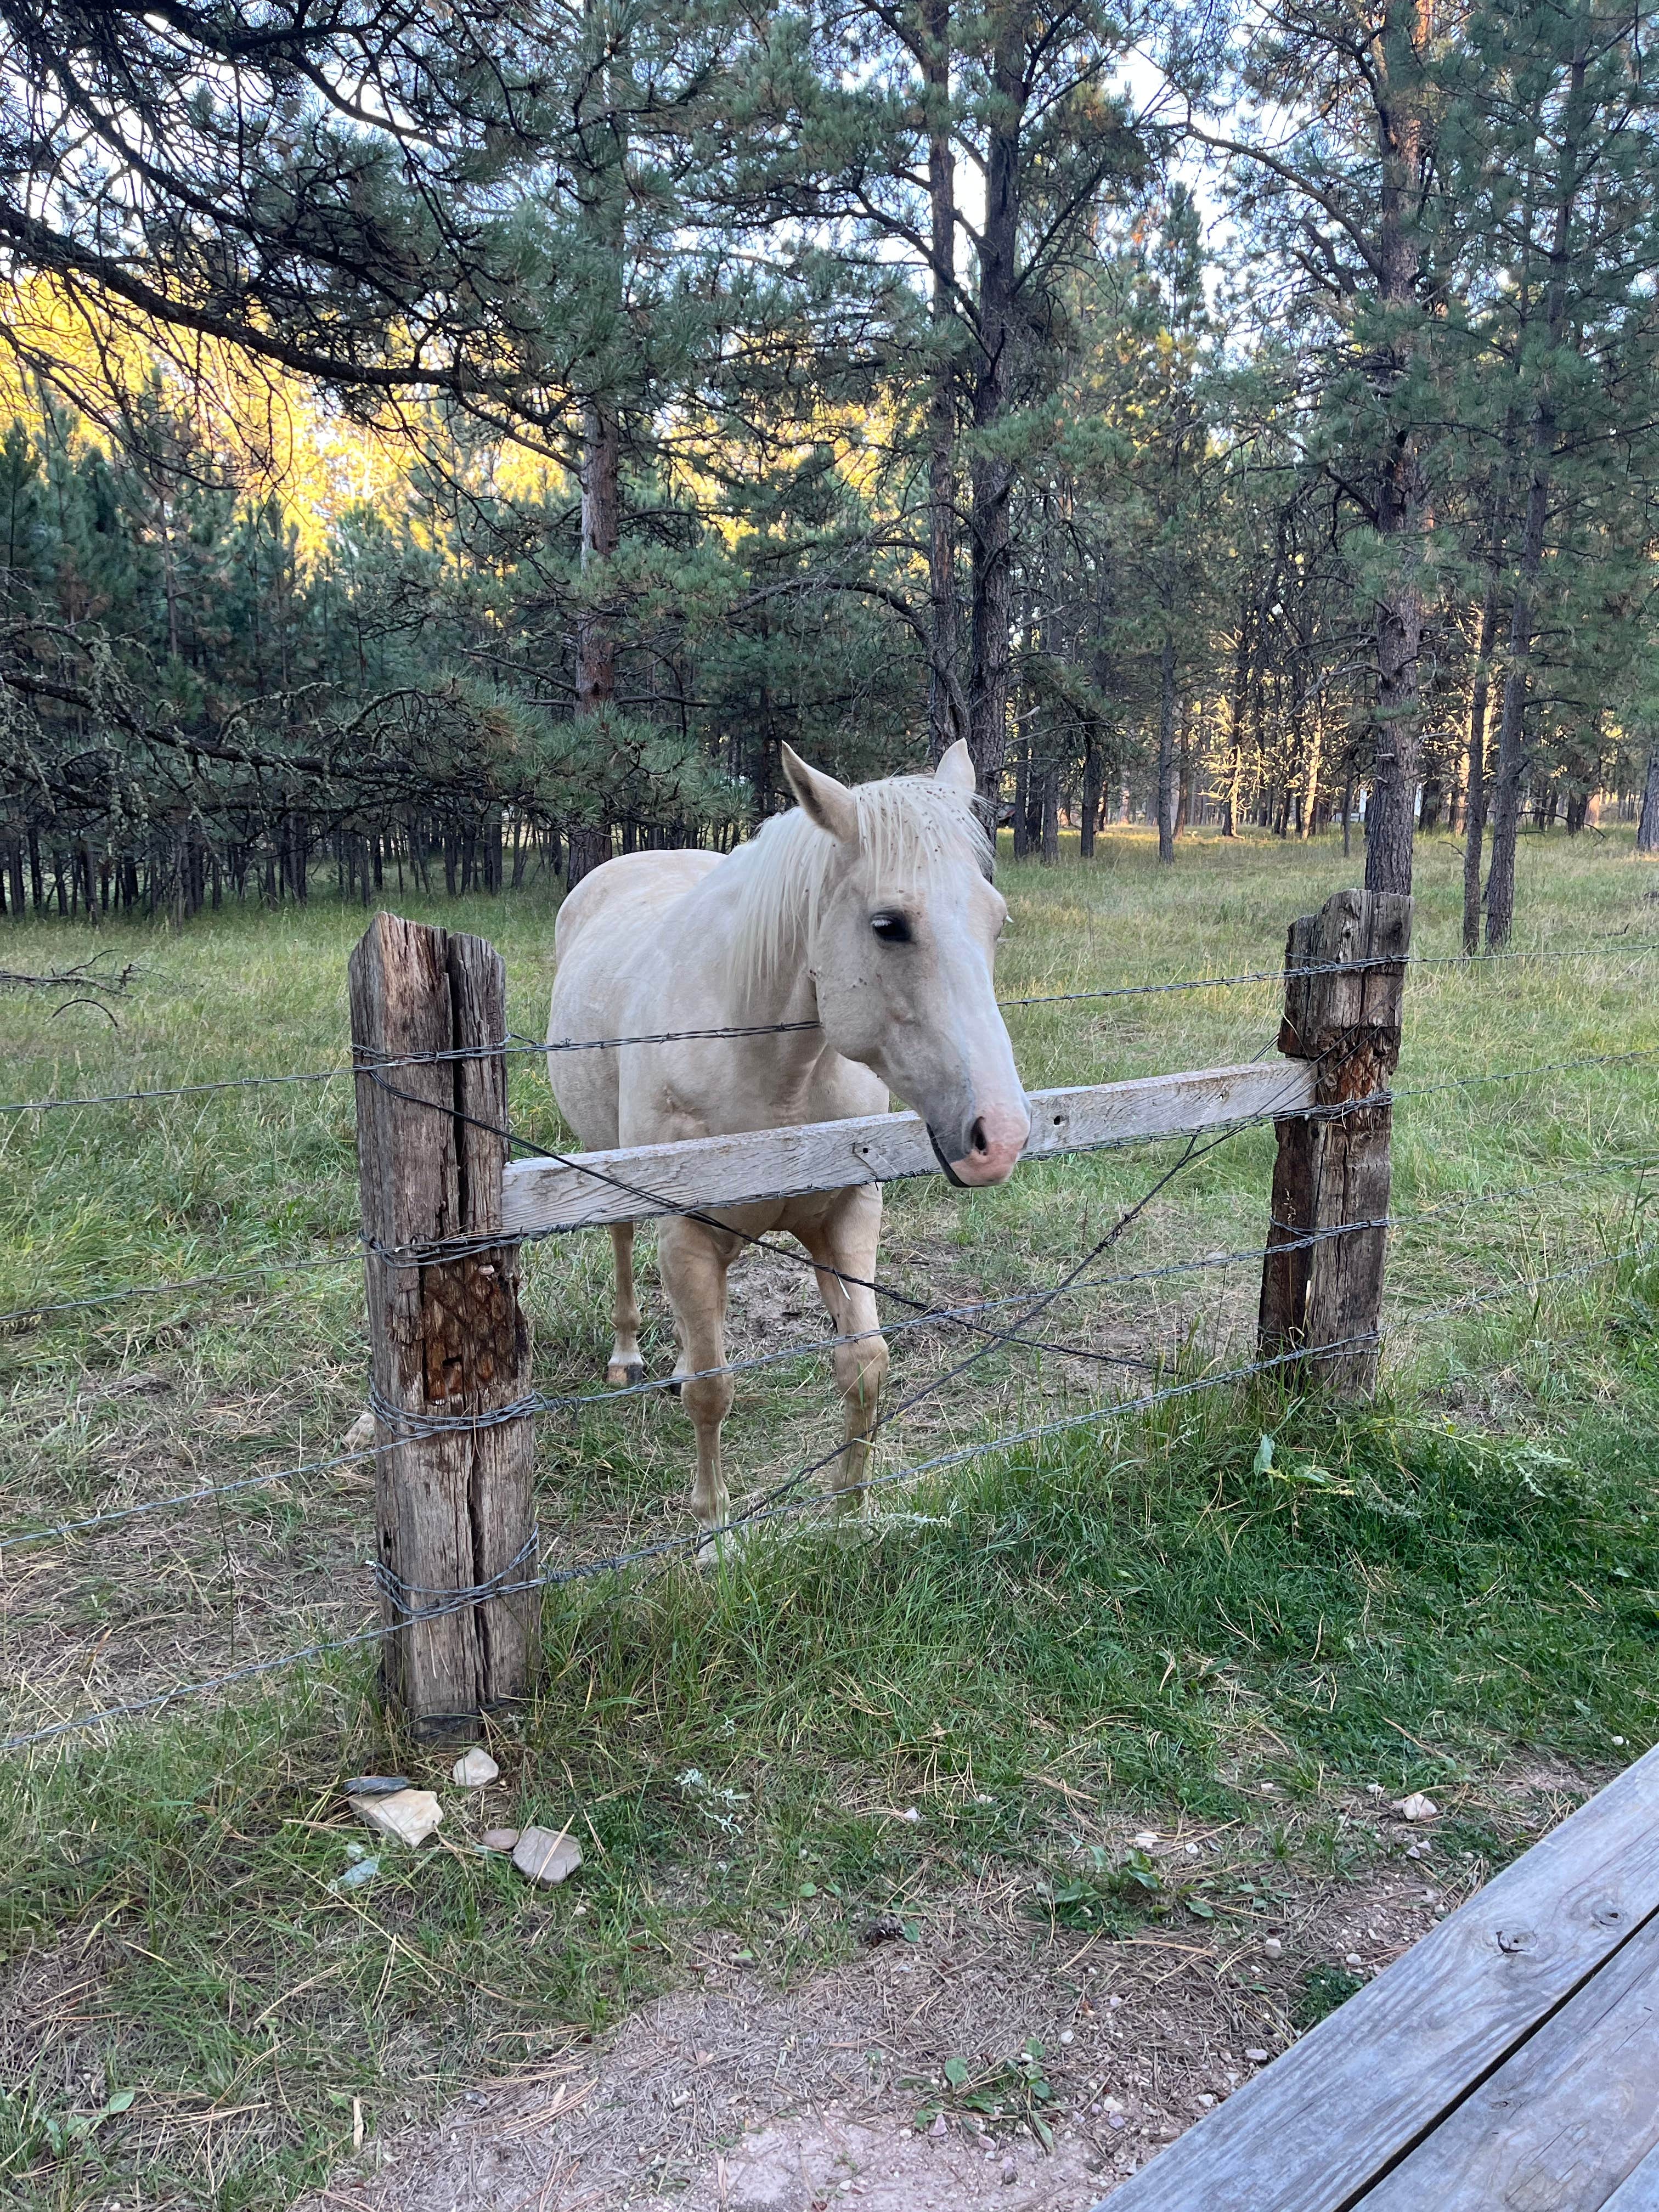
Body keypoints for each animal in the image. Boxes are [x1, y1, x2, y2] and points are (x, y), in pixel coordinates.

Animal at [546, 739, 1030, 1537]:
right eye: (889, 924)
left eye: (996, 921)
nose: (1003, 1136)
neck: (775, 1073)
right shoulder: (685, 1232)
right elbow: (714, 1392)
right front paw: (714, 1534)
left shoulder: (847, 1216)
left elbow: (865, 1365)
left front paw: (849, 1514)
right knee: (621, 1246)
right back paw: (629, 1357)